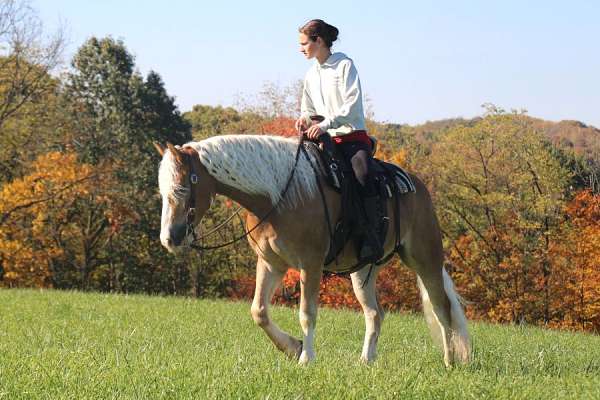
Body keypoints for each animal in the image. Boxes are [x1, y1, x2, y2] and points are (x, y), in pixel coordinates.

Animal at [156, 136, 474, 368]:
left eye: (183, 188)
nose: (169, 238)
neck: (278, 195)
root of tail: (417, 186)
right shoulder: (270, 263)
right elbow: (259, 311)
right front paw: (292, 347)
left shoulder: (310, 264)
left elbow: (307, 313)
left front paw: (306, 358)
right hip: (363, 271)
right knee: (375, 314)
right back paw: (366, 360)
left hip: (425, 258)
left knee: (441, 308)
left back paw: (449, 361)